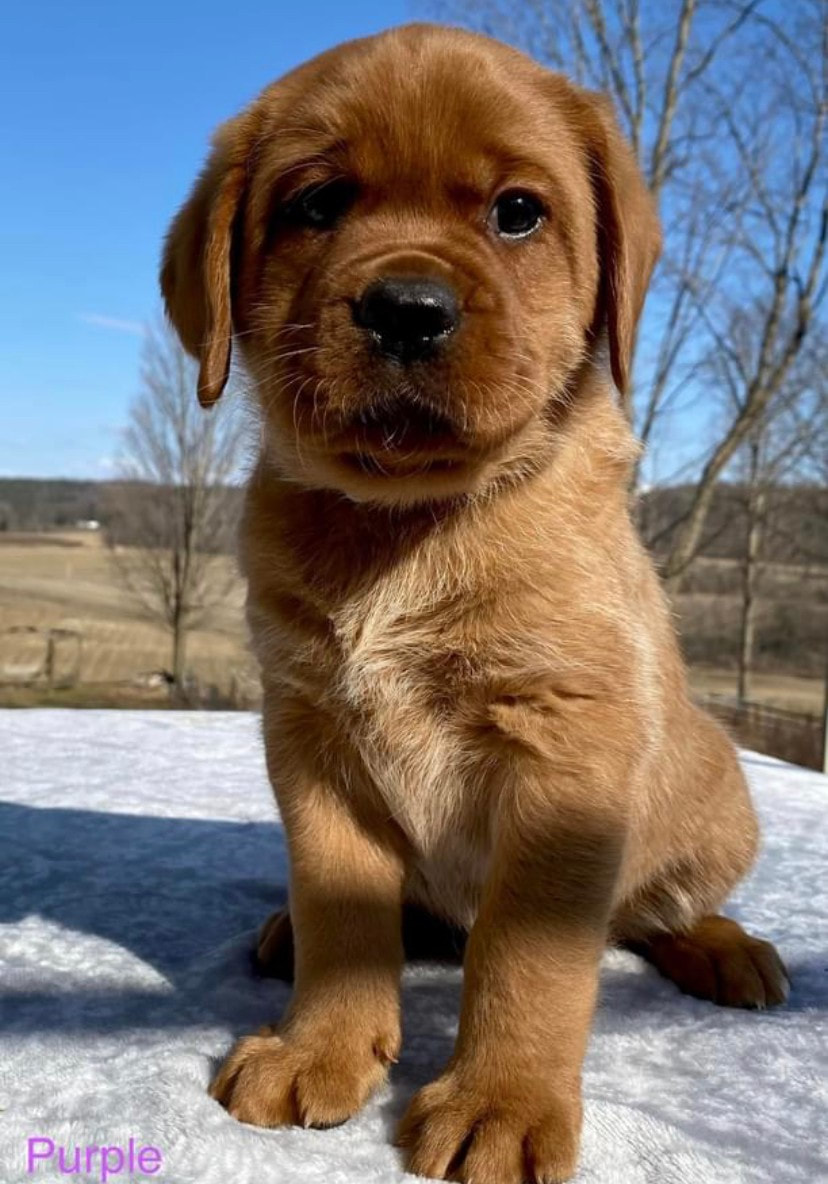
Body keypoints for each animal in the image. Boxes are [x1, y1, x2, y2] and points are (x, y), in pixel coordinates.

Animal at [162, 20, 791, 1184]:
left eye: (518, 213)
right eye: (320, 203)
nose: (408, 309)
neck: (406, 522)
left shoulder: (564, 752)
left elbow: (529, 958)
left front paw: (504, 1098)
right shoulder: (311, 737)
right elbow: (341, 909)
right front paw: (321, 1045)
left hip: (714, 791)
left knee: (654, 909)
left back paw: (728, 948)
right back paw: (287, 933)